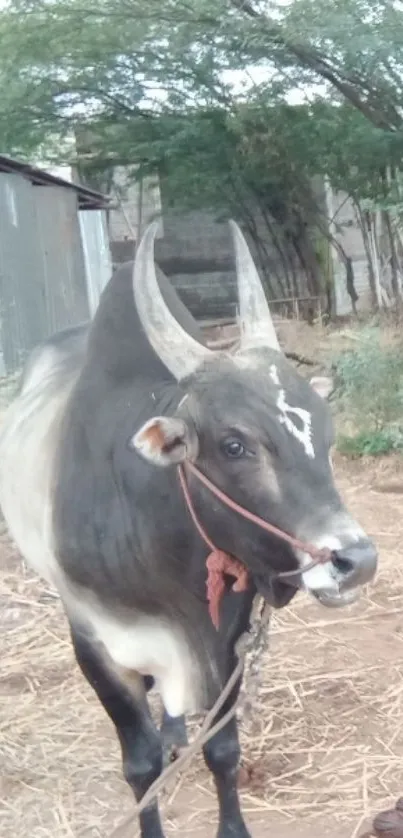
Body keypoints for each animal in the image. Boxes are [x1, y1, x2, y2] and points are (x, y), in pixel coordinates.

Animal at [0, 223, 378, 838]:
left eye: (326, 435)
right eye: (234, 444)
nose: (356, 561)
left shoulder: (228, 639)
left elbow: (222, 749)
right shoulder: (97, 647)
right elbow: (141, 767)